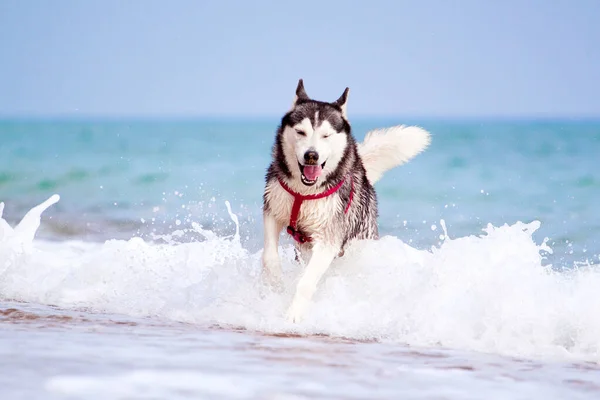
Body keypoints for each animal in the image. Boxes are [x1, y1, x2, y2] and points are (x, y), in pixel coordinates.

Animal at [262, 79, 432, 322]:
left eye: (326, 135)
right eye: (301, 132)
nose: (311, 155)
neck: (305, 192)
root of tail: (363, 170)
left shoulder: (328, 238)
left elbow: (306, 283)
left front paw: (294, 314)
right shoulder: (273, 208)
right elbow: (269, 258)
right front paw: (275, 284)